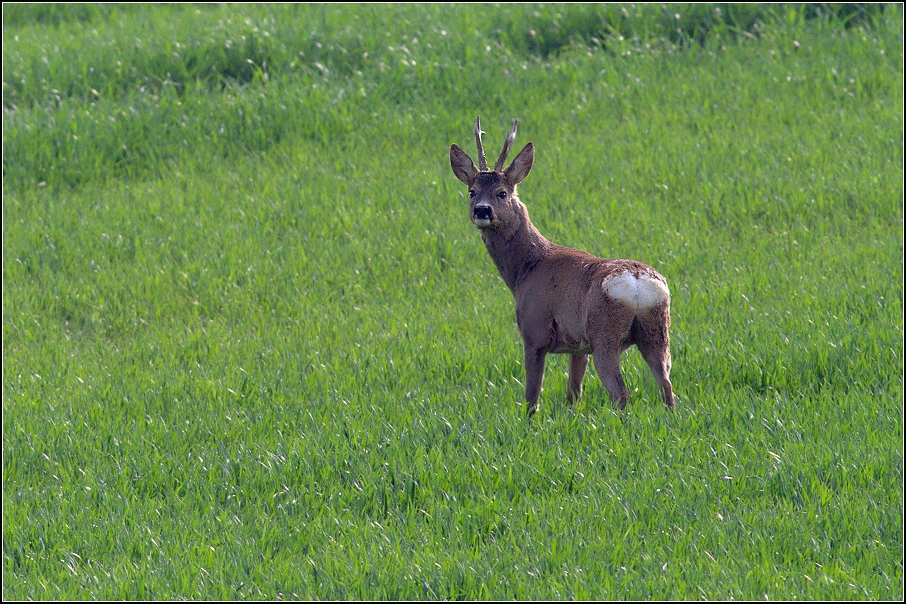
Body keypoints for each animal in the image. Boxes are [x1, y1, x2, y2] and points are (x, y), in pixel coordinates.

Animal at [448, 119, 676, 418]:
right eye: (471, 191)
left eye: (502, 193)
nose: (482, 210)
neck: (526, 270)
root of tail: (638, 282)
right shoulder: (578, 345)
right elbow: (573, 393)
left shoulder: (534, 332)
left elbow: (532, 396)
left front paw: (528, 422)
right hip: (656, 329)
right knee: (666, 384)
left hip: (605, 333)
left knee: (620, 391)